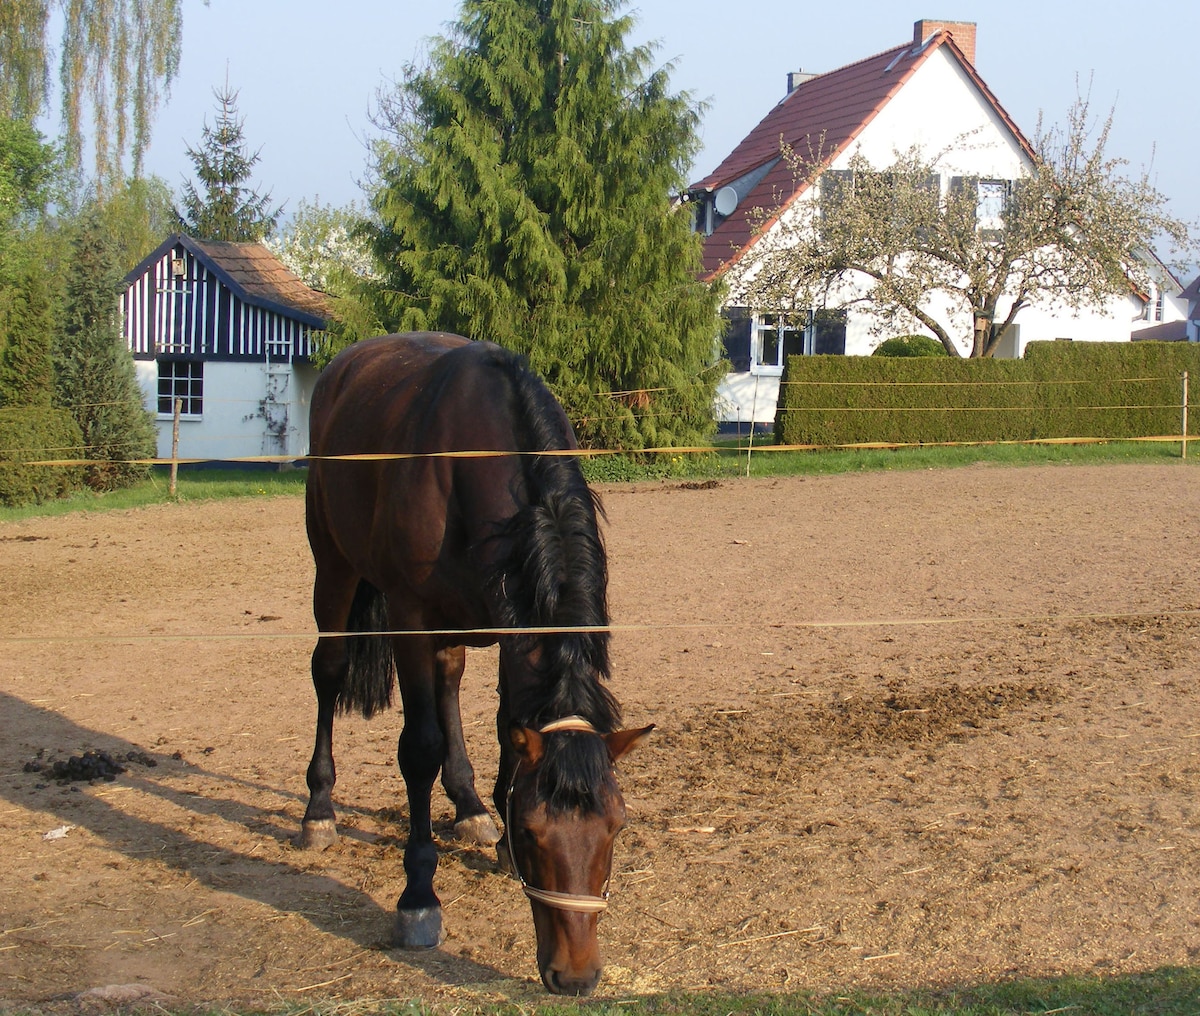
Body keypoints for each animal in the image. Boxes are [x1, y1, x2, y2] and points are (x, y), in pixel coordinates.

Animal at [300, 331, 657, 993]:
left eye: (616, 826)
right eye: (536, 831)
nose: (576, 977)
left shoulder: (510, 623)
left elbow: (505, 728)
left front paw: (493, 830)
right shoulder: (412, 618)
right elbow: (419, 748)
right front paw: (418, 897)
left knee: (448, 685)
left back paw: (468, 807)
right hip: (334, 566)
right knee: (329, 670)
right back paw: (319, 810)